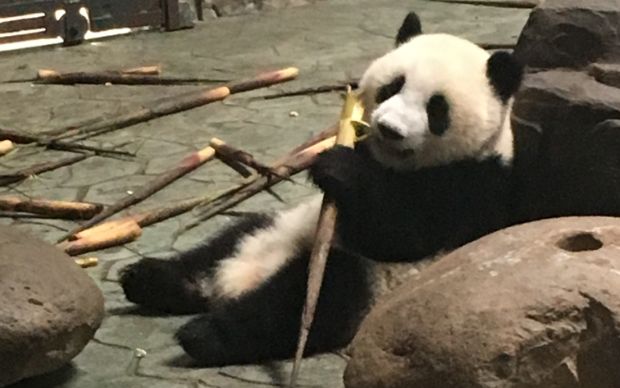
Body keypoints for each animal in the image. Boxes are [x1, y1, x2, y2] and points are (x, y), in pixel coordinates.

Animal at [120, 12, 620, 368]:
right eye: (392, 86)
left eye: (436, 109)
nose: (389, 129)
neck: (394, 163)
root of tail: (240, 279)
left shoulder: (474, 186)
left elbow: (403, 233)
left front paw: (336, 167)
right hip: (272, 228)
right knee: (222, 245)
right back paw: (149, 278)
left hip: (366, 283)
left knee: (307, 300)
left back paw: (203, 333)